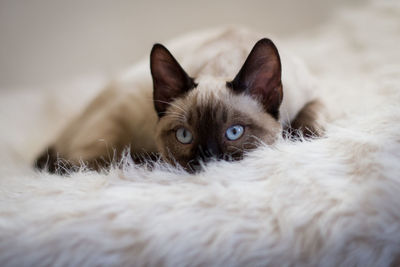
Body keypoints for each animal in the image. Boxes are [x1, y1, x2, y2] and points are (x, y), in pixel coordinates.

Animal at [35, 27, 324, 174]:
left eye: (234, 132)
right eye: (184, 136)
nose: (208, 157)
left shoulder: (314, 95)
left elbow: (310, 124)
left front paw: (301, 140)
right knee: (86, 165)